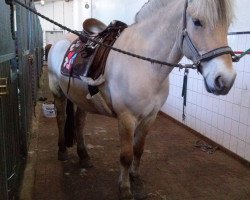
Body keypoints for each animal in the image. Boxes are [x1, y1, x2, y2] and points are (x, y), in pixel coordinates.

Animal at [47, 0, 237, 200]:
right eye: (197, 22)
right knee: (61, 119)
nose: (225, 80)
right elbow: (126, 155)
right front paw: (124, 188)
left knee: (79, 123)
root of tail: (57, 42)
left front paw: (135, 178)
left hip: (81, 99)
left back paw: (84, 156)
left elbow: (138, 149)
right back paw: (62, 151)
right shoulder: (126, 118)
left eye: (227, 24)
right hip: (57, 92)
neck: (144, 65)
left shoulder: (150, 117)